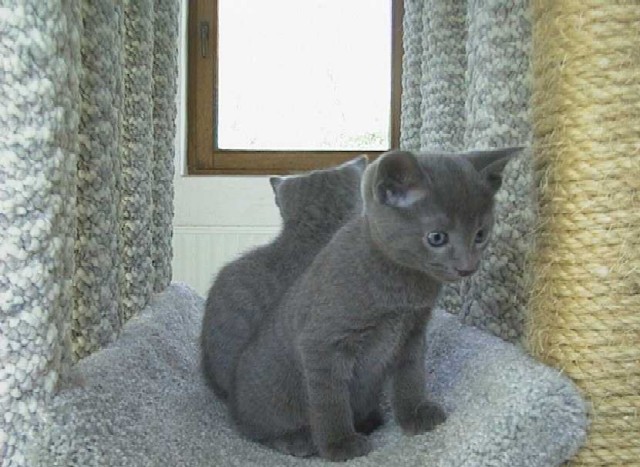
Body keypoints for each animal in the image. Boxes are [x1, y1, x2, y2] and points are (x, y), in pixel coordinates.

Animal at [230, 147, 521, 461]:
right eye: (436, 237)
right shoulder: (322, 342)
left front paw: (414, 413)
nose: (467, 268)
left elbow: (410, 375)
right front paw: (340, 444)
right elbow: (329, 398)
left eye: (480, 235)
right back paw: (296, 440)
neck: (402, 287)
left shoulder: (412, 332)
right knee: (258, 431)